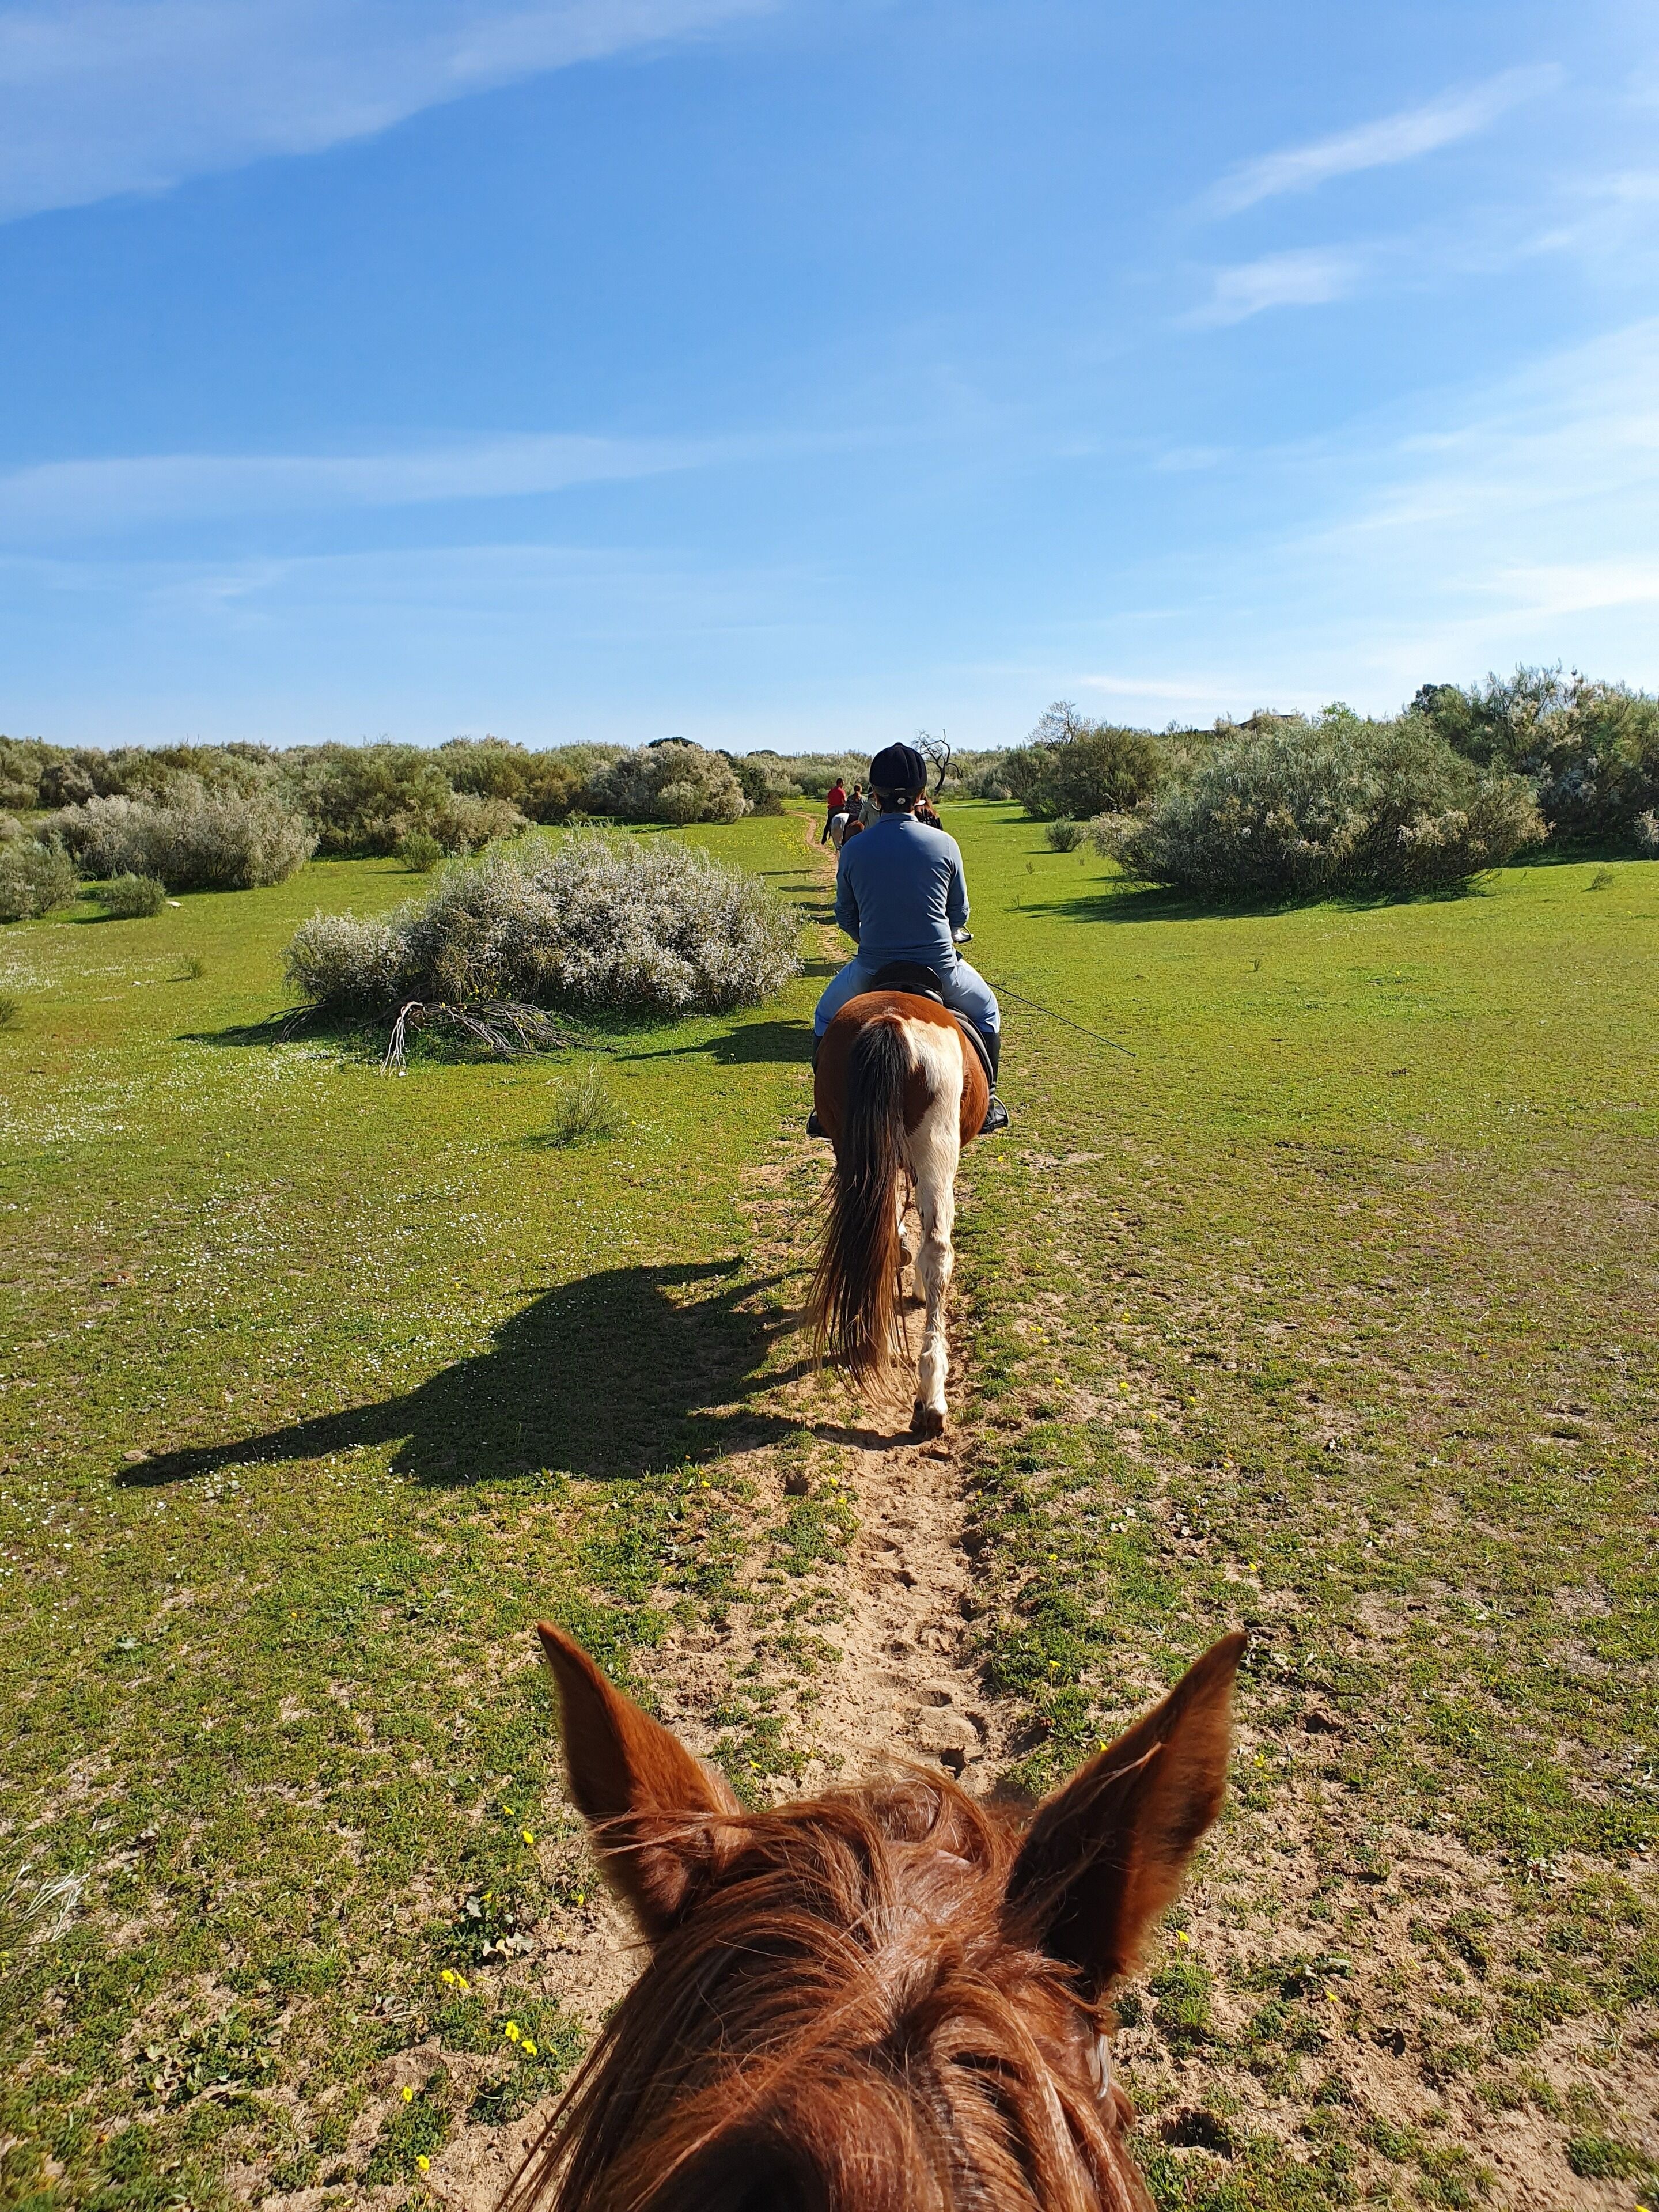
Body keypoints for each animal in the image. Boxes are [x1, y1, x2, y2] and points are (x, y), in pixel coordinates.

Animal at [808, 982, 990, 1437]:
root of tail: (891, 1020)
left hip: (854, 1147)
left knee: (879, 1240)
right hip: (937, 1146)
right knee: (938, 1251)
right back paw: (932, 1397)